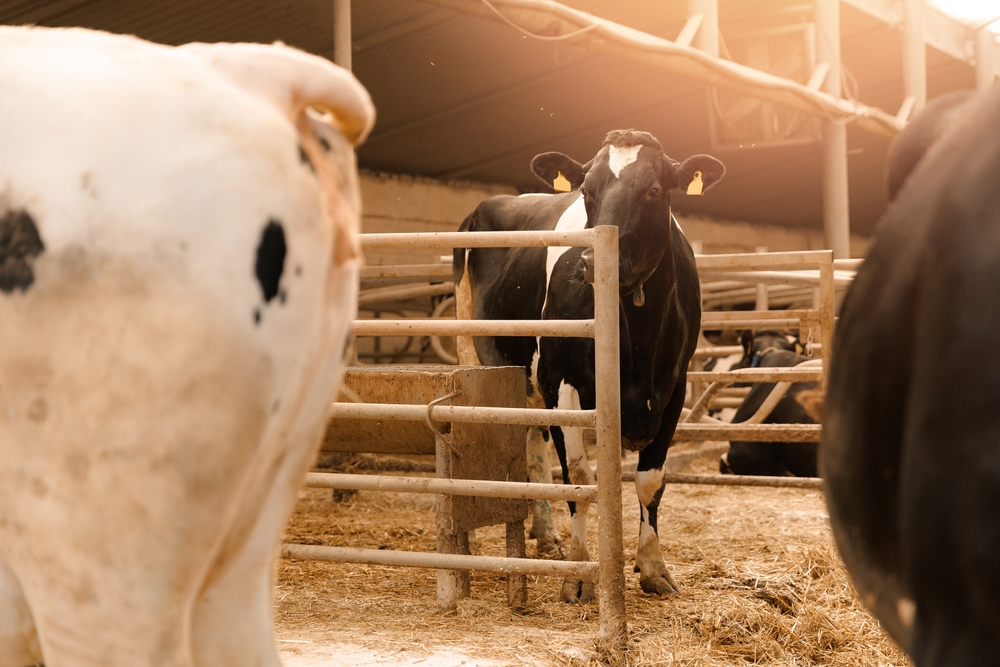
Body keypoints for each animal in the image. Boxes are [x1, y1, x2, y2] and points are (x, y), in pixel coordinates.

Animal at [454, 130, 724, 602]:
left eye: (655, 190)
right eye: (586, 191)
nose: (595, 261)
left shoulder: (674, 387)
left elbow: (650, 480)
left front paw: (653, 567)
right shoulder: (560, 381)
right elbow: (579, 477)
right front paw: (580, 573)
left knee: (533, 449)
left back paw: (546, 536)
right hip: (482, 364)